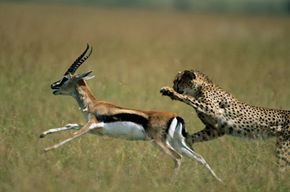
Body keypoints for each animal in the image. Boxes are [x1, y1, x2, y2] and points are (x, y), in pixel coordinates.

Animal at [161, 70, 290, 170]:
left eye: (178, 81)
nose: (174, 86)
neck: (202, 86)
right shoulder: (215, 129)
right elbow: (193, 137)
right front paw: (186, 144)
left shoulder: (213, 110)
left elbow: (188, 98)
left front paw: (170, 91)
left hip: (283, 148)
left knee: (283, 167)